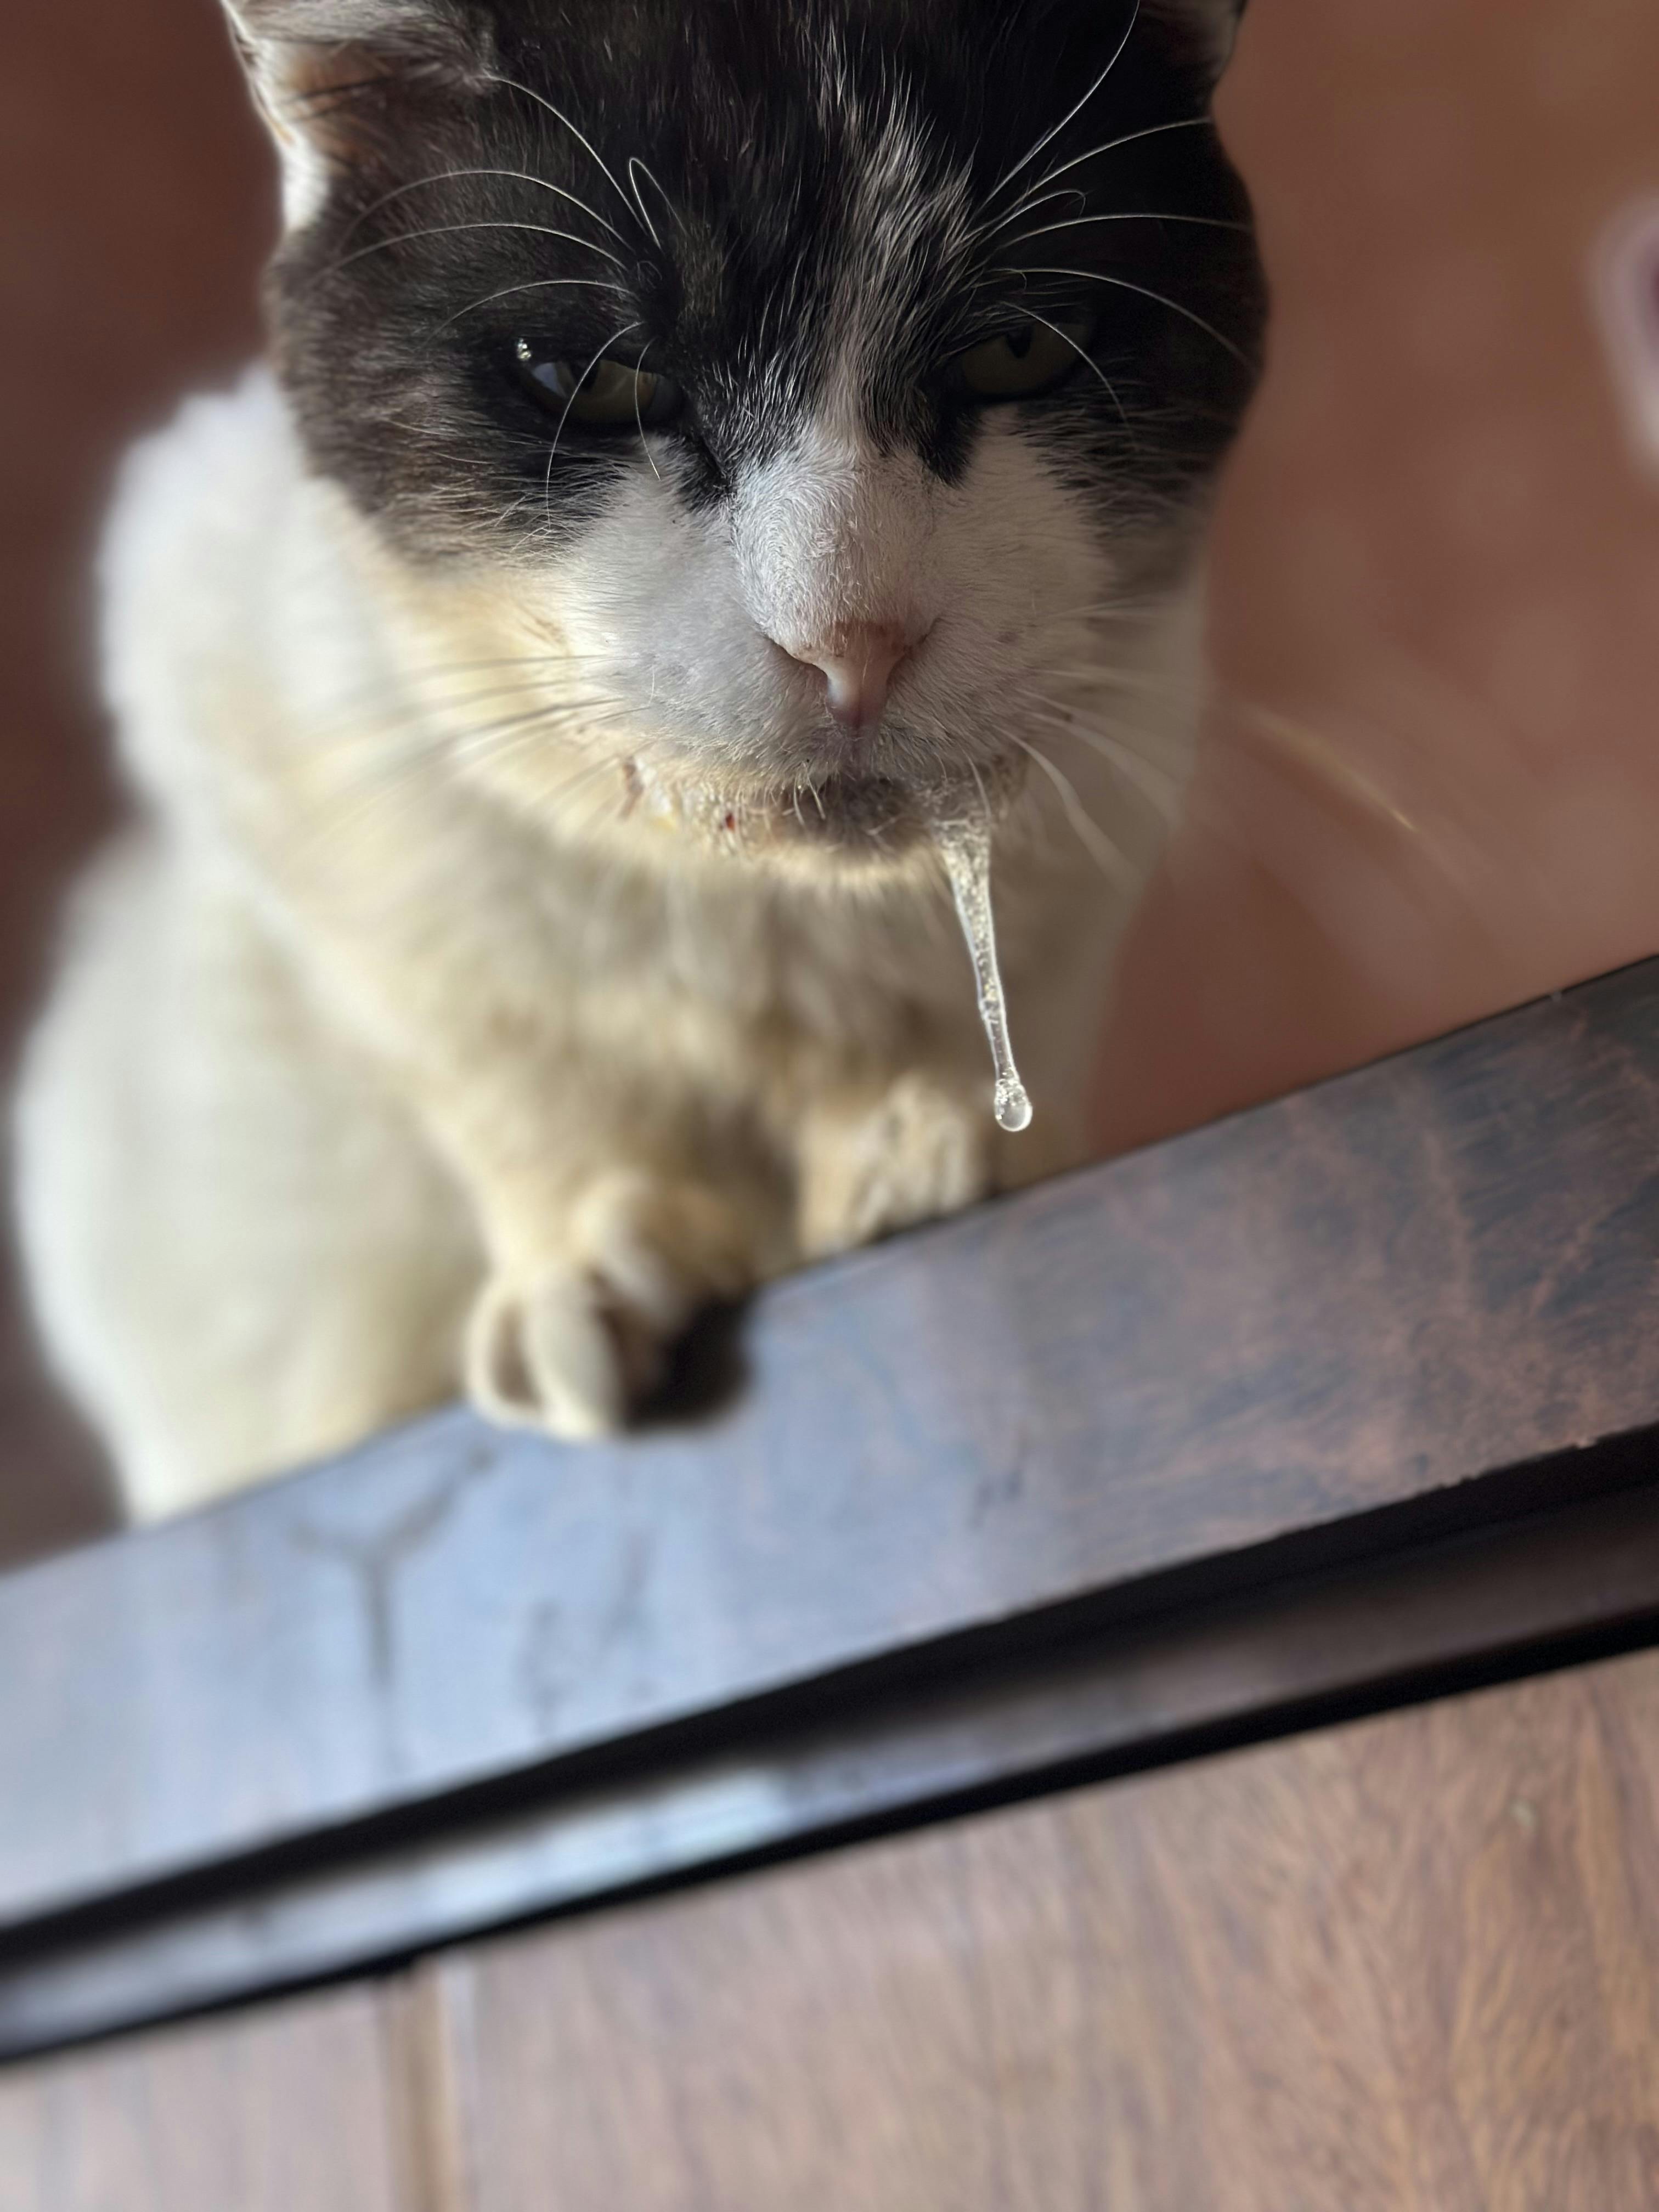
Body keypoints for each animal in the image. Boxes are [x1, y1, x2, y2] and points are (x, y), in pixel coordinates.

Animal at [13, 0, 1265, 1519]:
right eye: (595, 378)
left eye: (1020, 347)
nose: (850, 635)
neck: (743, 921)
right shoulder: (238, 694)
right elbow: (511, 1064)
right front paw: (591, 1251)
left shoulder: (1113, 777)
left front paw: (921, 1134)